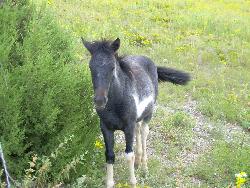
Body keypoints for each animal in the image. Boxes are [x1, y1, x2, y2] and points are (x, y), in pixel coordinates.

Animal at [81, 37, 189, 187]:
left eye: (112, 67)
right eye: (91, 67)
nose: (99, 101)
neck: (116, 103)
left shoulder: (128, 126)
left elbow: (128, 155)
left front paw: (133, 181)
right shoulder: (106, 127)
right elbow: (110, 155)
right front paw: (110, 182)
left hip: (148, 115)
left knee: (143, 133)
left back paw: (144, 167)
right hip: (137, 118)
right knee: (138, 131)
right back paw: (138, 162)